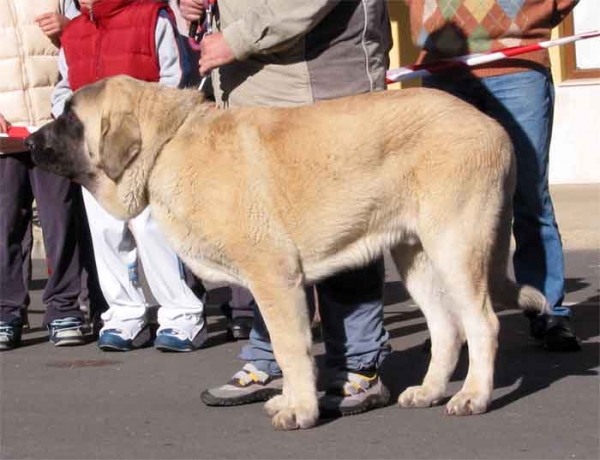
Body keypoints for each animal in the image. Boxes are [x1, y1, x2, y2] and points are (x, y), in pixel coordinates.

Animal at [25, 76, 548, 432]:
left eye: (70, 119)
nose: (28, 140)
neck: (167, 144)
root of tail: (491, 124)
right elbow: (282, 347)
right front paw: (291, 402)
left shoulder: (275, 277)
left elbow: (290, 348)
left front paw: (301, 410)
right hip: (415, 255)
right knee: (446, 327)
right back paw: (431, 391)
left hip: (456, 246)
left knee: (482, 324)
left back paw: (474, 396)